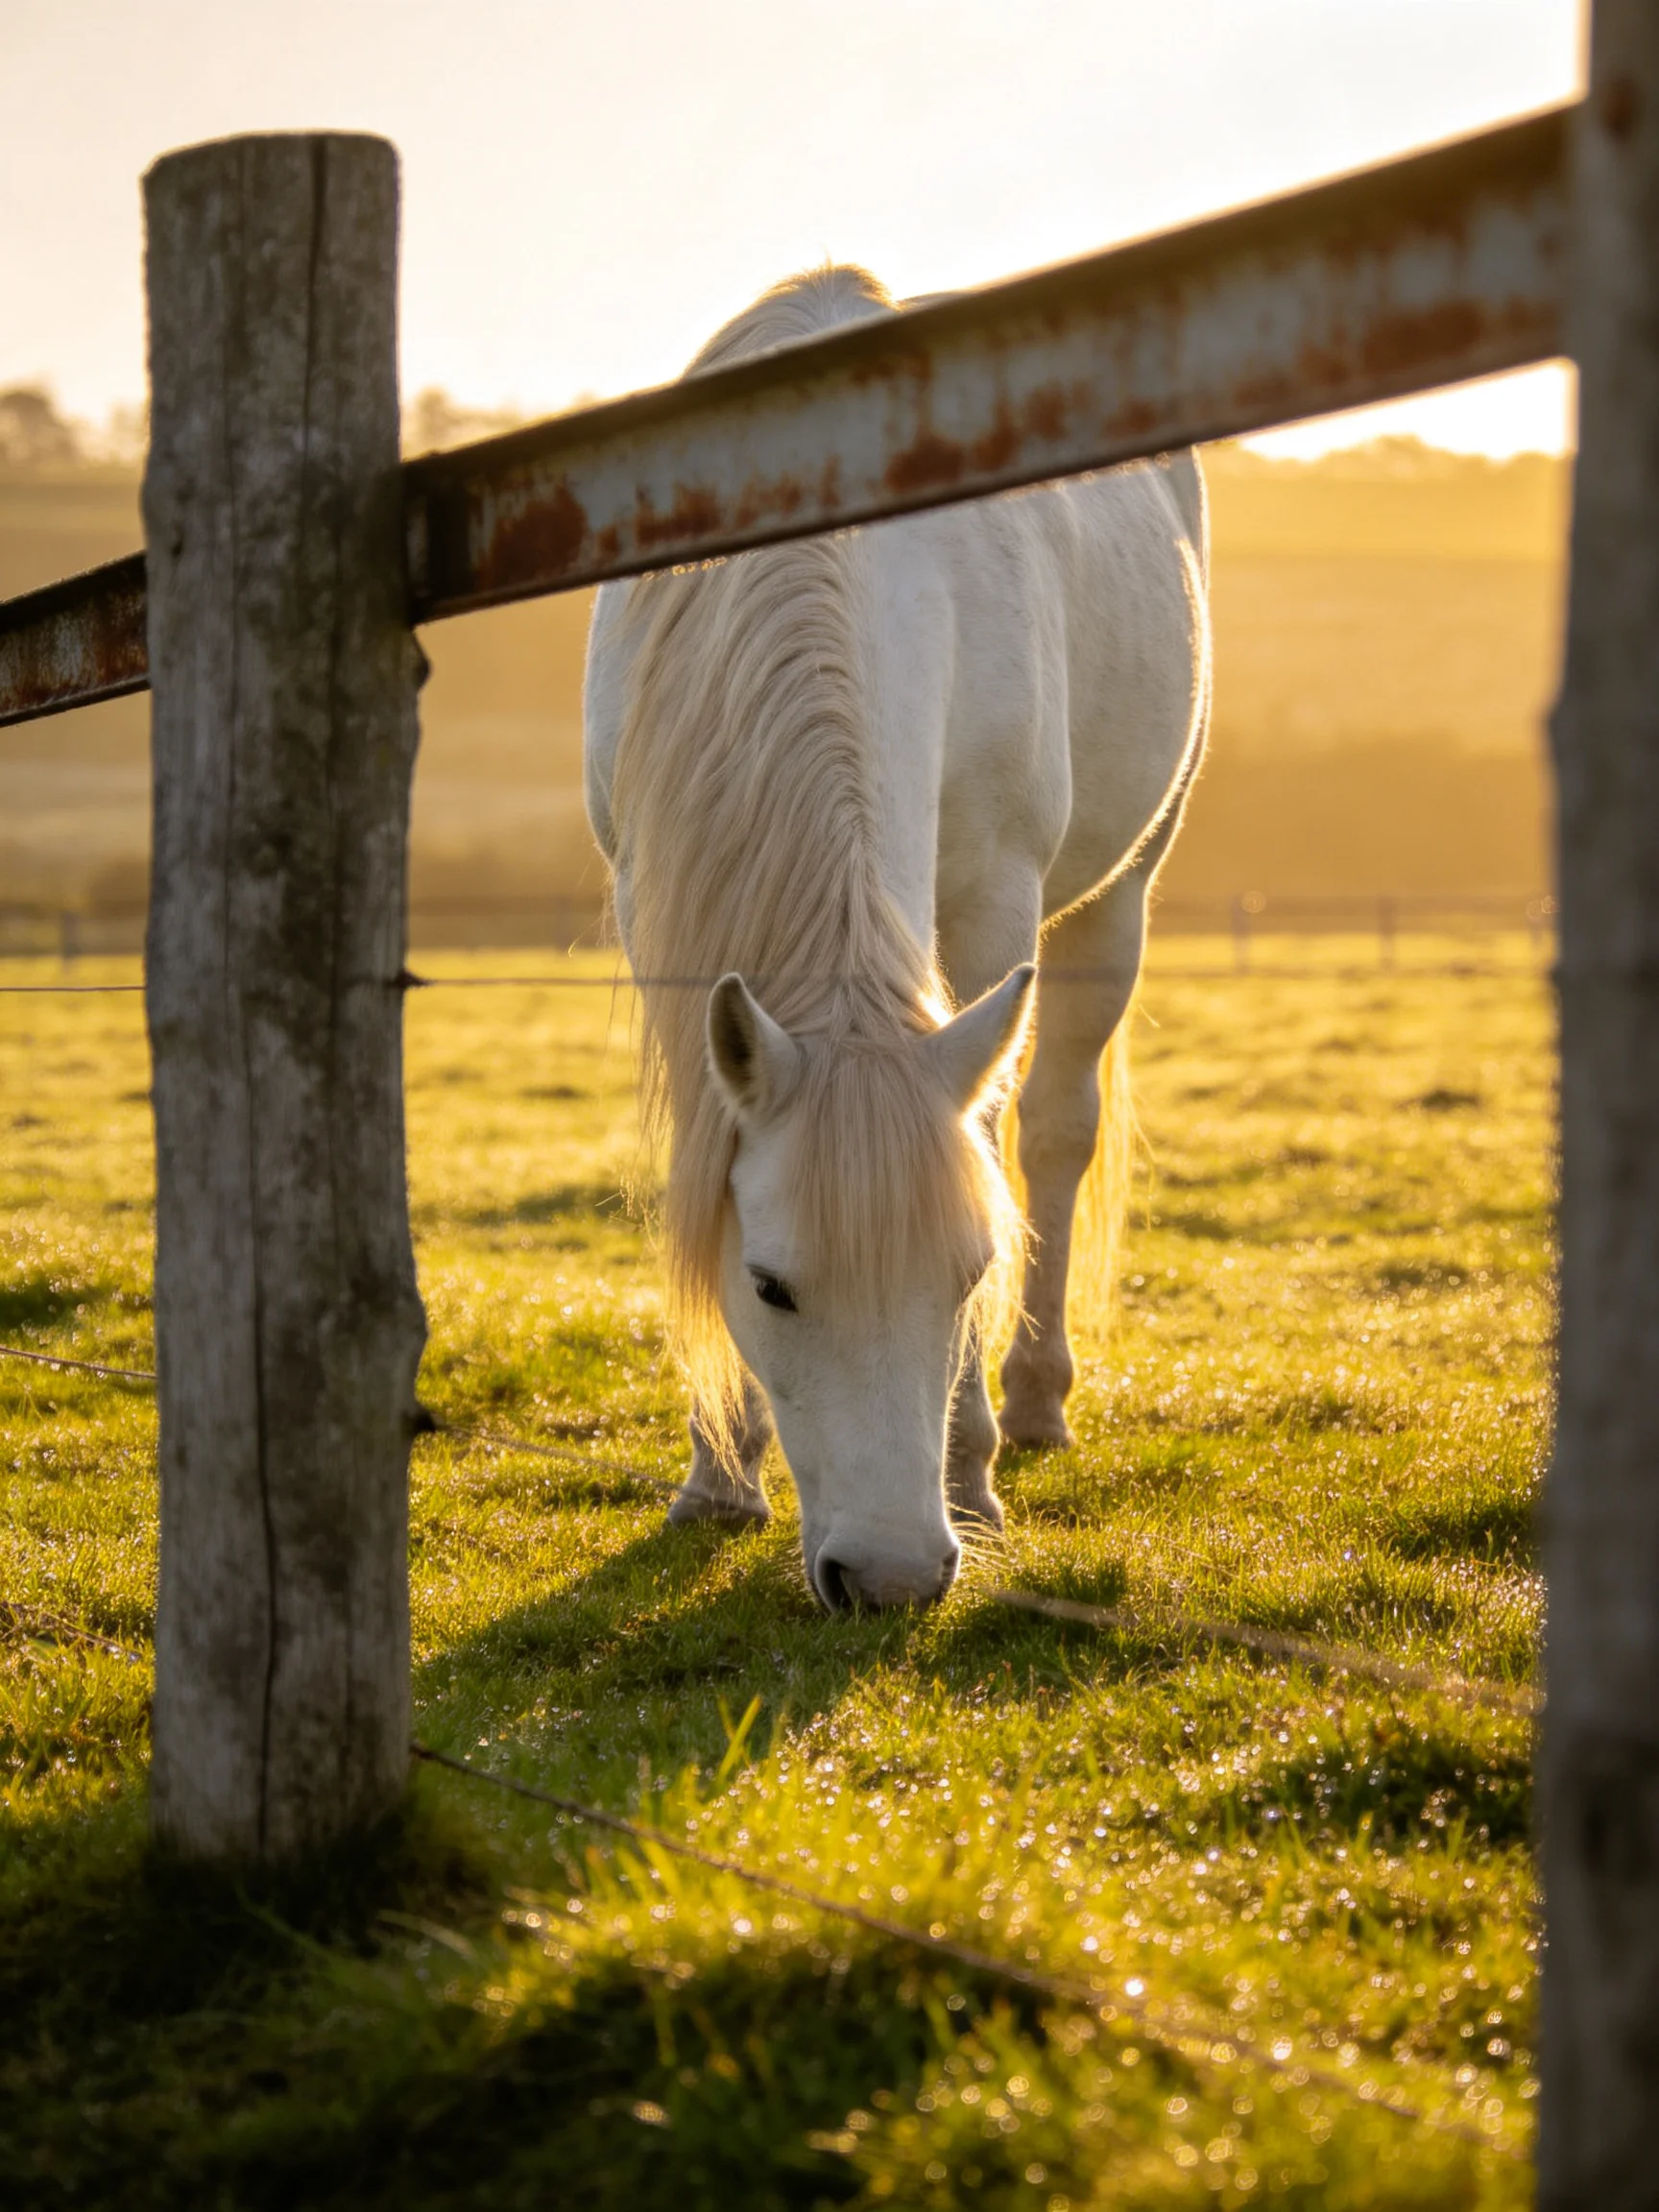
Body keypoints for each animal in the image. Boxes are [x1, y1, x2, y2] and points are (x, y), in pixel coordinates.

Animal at [583, 265, 1210, 1612]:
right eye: (770, 1284)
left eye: (970, 1269)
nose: (891, 1578)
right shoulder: (652, 899)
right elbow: (700, 1157)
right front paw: (716, 1472)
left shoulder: (991, 901)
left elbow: (996, 1140)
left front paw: (969, 1466)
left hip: (1120, 891)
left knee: (1056, 1130)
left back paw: (1030, 1407)